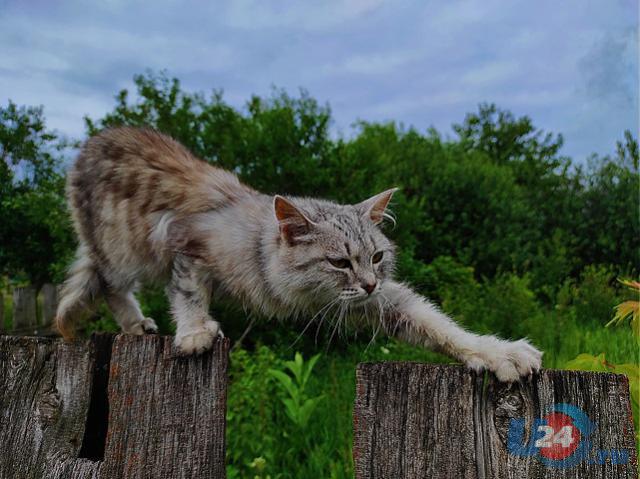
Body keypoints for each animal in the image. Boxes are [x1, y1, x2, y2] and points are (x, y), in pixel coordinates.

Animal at [57, 126, 544, 382]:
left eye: (376, 258)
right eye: (340, 262)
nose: (369, 283)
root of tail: (94, 140)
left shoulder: (384, 303)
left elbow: (442, 327)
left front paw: (498, 353)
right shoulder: (188, 245)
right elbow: (189, 294)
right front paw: (195, 332)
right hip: (121, 249)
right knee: (109, 284)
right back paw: (136, 323)